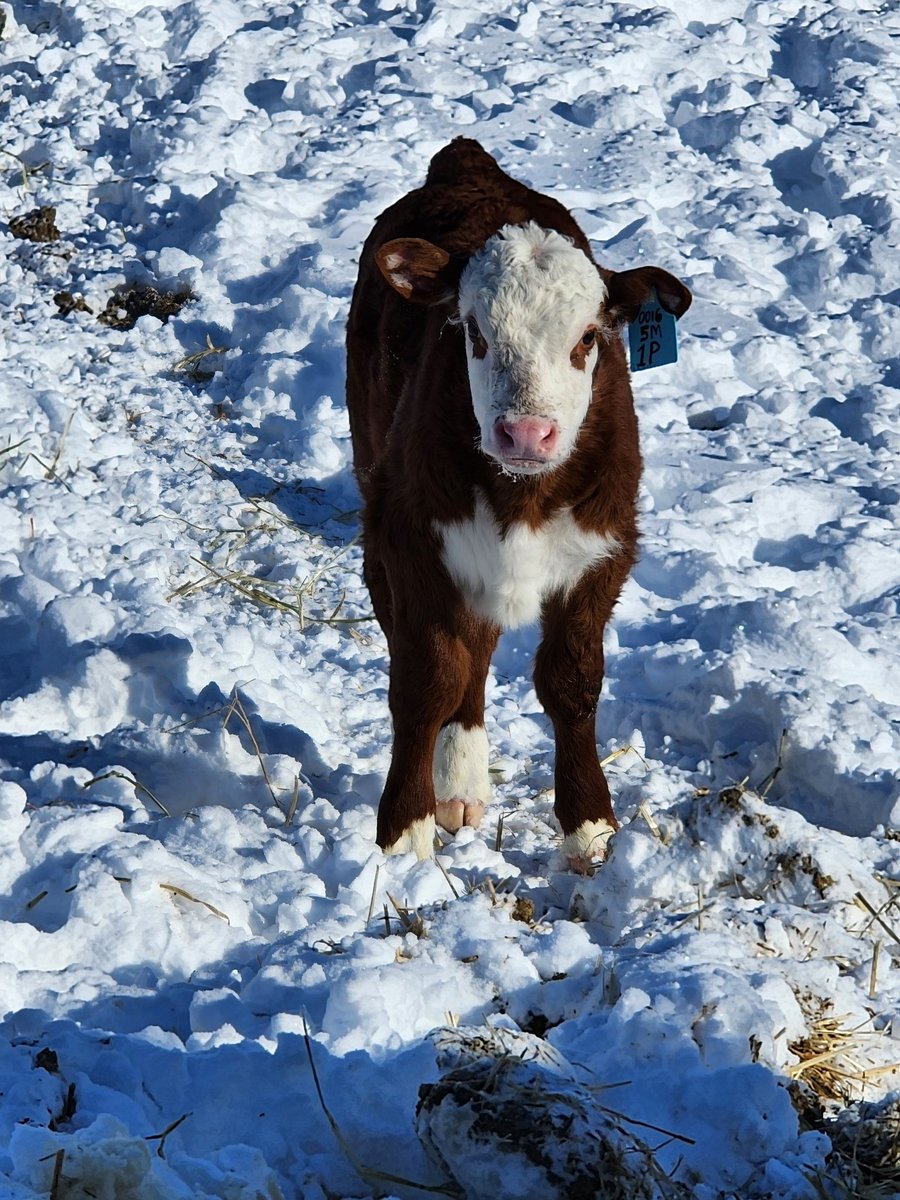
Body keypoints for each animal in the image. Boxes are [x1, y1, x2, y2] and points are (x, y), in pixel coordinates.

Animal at [346, 137, 691, 871]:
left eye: (589, 336)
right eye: (472, 332)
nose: (526, 433)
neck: (522, 494)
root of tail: (469, 162)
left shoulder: (603, 549)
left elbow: (572, 682)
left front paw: (591, 827)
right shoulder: (409, 538)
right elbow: (426, 679)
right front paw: (404, 833)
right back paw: (457, 785)